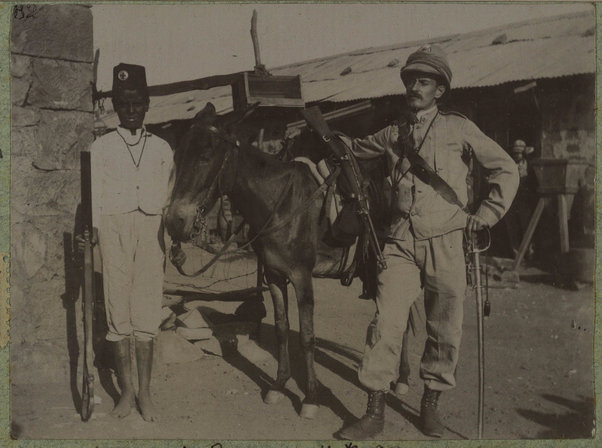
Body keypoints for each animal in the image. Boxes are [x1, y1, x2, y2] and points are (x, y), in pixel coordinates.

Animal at [164, 103, 408, 418]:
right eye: (178, 156)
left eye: (206, 155)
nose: (174, 221)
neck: (281, 204)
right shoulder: (274, 276)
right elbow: (281, 329)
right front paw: (279, 385)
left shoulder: (302, 277)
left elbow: (306, 336)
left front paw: (311, 398)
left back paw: (401, 380)